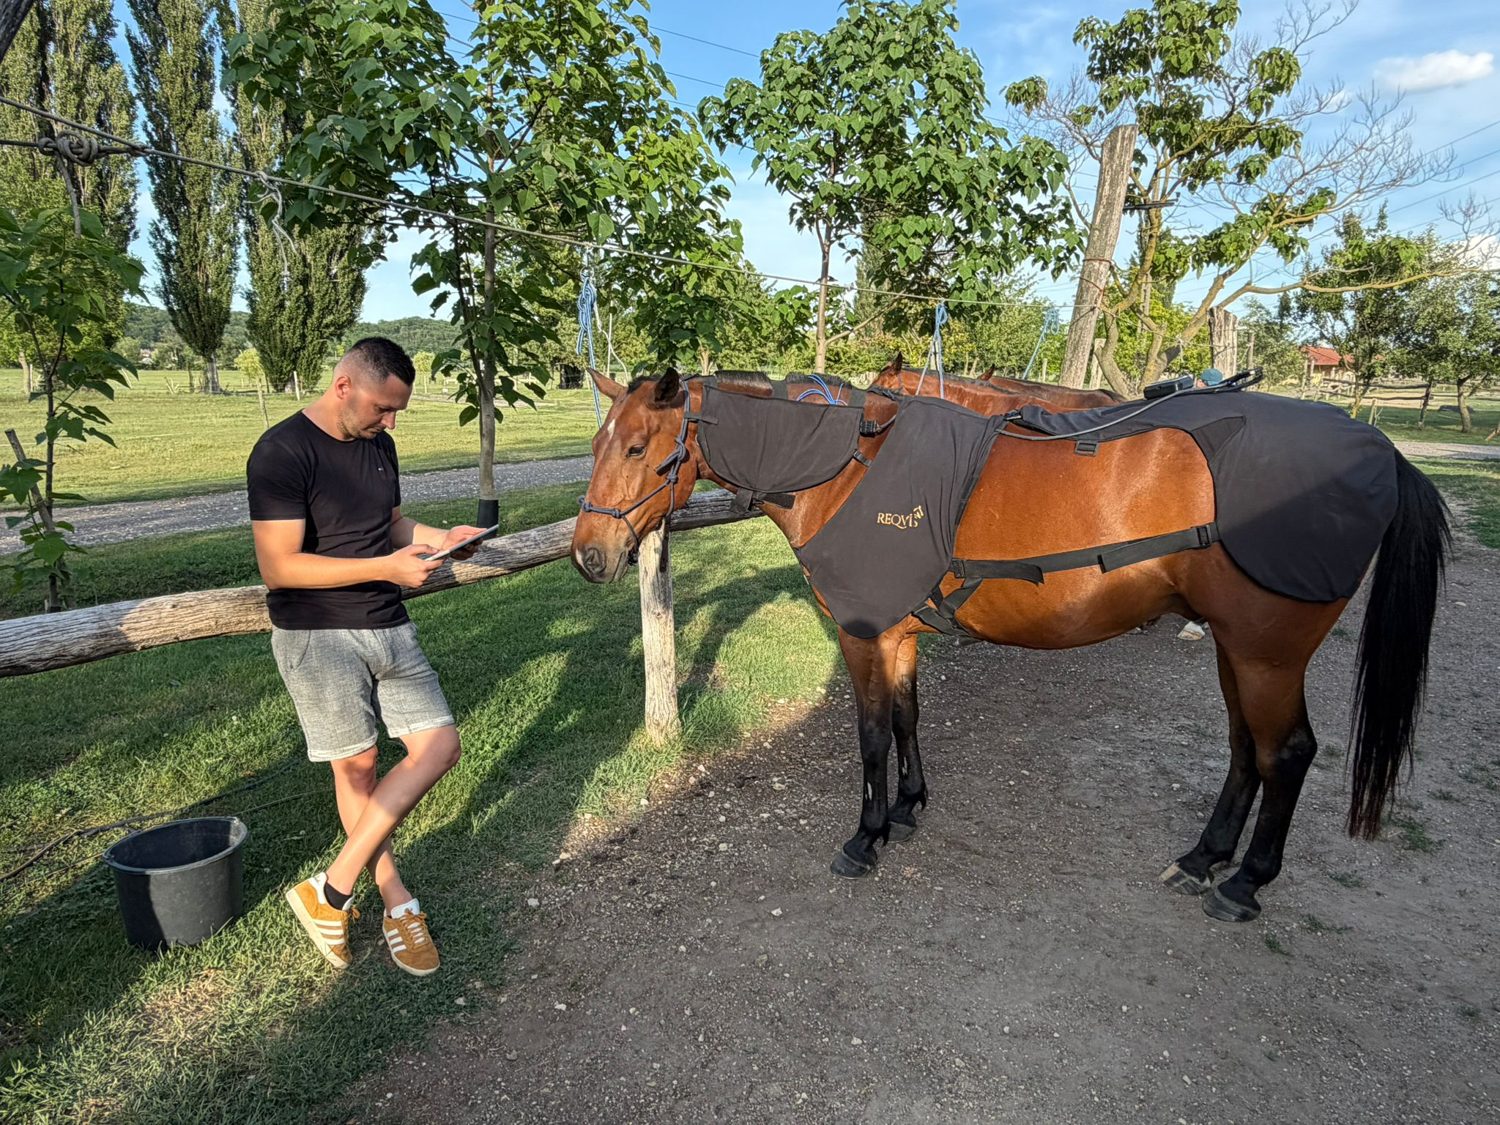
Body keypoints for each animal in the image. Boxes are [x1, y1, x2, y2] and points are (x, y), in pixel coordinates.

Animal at [572, 367, 1449, 923]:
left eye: (640, 447)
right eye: (597, 444)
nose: (588, 556)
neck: (848, 468)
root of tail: (1381, 452)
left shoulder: (864, 635)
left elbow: (869, 734)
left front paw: (866, 835)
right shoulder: (900, 633)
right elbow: (908, 718)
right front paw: (910, 806)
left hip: (1267, 655)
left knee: (1286, 753)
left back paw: (1243, 885)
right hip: (1237, 649)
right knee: (1246, 750)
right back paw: (1205, 857)